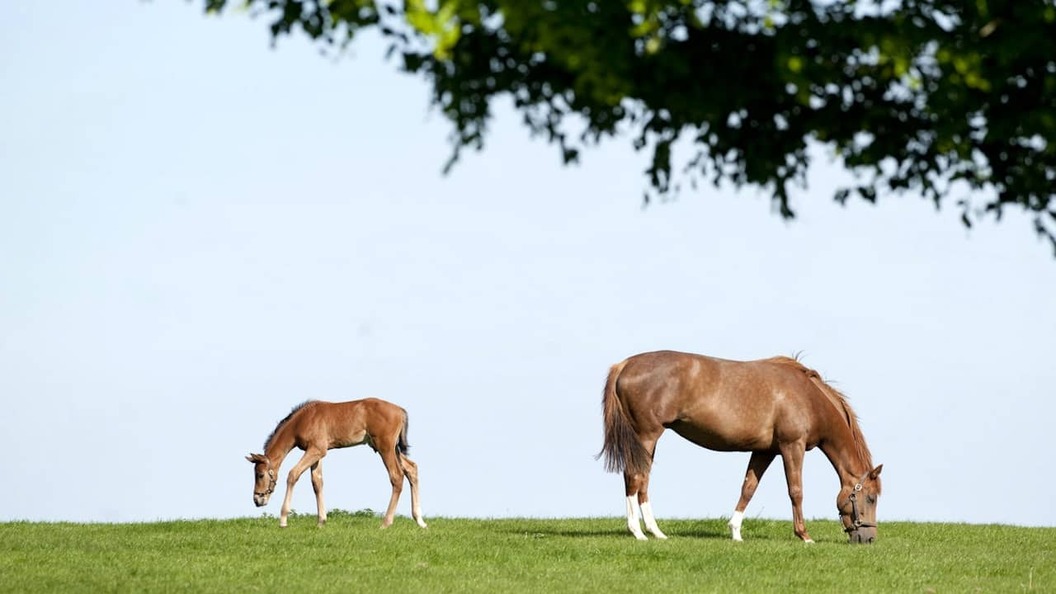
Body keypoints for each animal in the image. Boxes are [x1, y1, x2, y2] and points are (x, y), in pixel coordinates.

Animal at [246, 397, 427, 529]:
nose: (257, 500)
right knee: (411, 469)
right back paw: (420, 520)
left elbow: (293, 474)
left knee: (397, 476)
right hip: (393, 448)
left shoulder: (317, 450)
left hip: (385, 447)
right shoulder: (317, 453)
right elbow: (317, 482)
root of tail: (400, 411)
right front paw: (321, 521)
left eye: (260, 474)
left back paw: (386, 523)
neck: (302, 420)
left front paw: (283, 520)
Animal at [599, 350, 882, 544]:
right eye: (870, 498)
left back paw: (656, 532)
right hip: (646, 436)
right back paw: (638, 532)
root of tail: (624, 365)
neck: (809, 398)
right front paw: (804, 536)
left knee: (642, 480)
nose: (868, 539)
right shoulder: (792, 447)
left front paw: (735, 532)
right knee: (634, 477)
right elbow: (796, 491)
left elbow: (748, 488)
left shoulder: (765, 451)